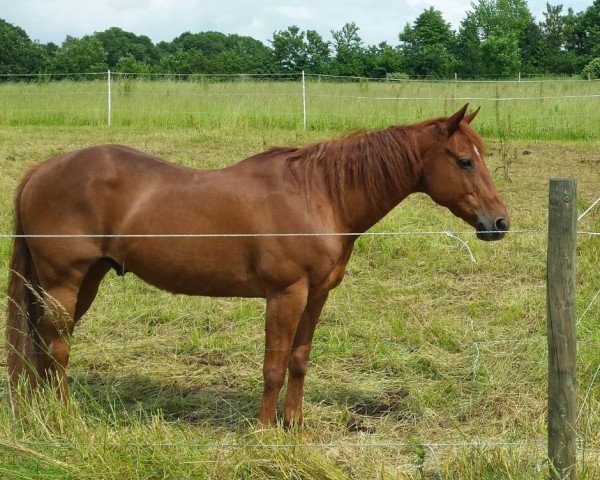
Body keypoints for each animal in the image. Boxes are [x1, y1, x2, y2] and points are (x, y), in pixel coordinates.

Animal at [7, 106, 508, 428]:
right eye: (465, 161)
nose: (499, 223)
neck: (319, 194)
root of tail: (40, 170)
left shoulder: (316, 296)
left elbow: (299, 361)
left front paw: (295, 425)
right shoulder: (285, 295)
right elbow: (273, 364)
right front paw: (265, 430)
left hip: (83, 282)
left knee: (42, 344)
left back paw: (38, 411)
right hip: (64, 282)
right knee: (56, 348)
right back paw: (63, 417)